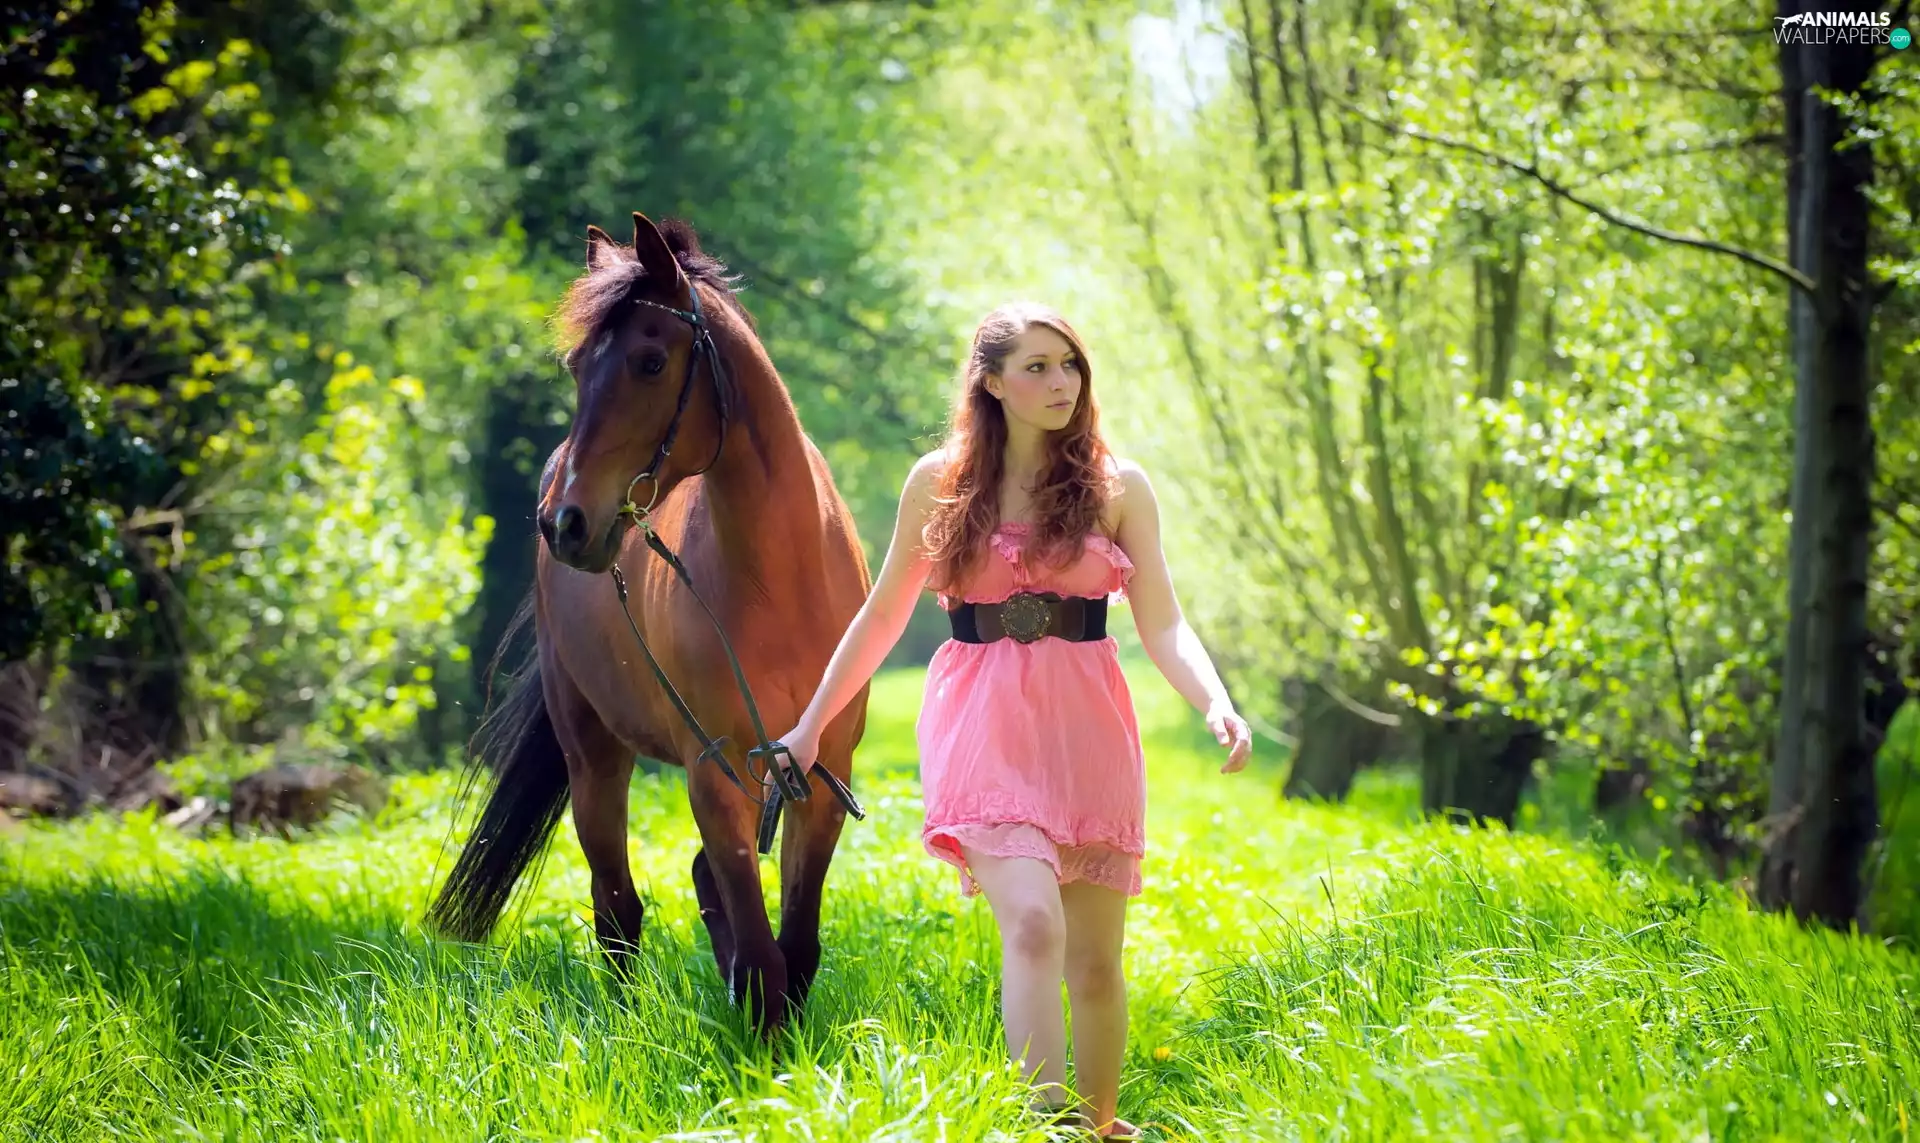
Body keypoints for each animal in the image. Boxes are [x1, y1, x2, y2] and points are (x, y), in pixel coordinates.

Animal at [427, 212, 873, 1035]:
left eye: (650, 361)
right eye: (576, 367)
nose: (563, 523)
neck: (780, 578)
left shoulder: (822, 774)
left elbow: (795, 948)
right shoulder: (714, 771)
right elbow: (762, 956)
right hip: (594, 758)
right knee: (616, 907)